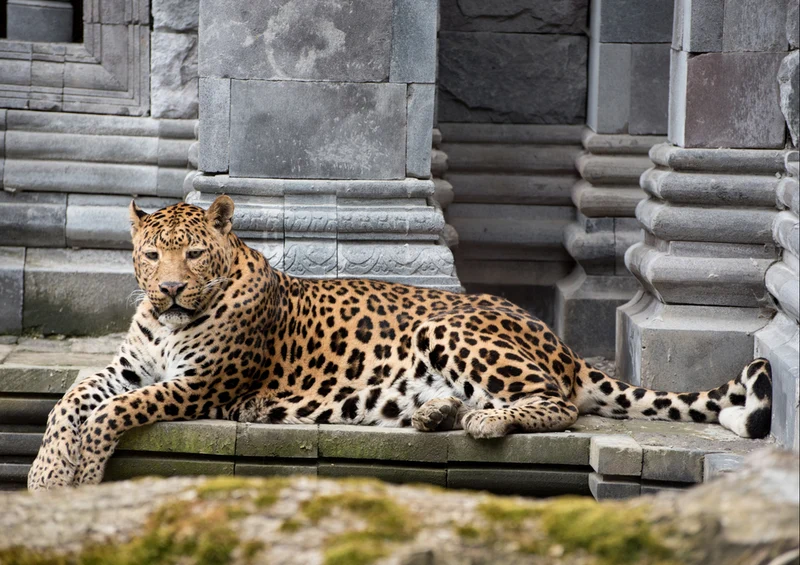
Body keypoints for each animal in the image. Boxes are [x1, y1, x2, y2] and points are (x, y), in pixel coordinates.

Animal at [27, 195, 773, 491]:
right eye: (151, 254)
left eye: (195, 253)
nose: (170, 290)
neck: (170, 326)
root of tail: (555, 338)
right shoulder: (130, 367)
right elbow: (71, 398)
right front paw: (43, 473)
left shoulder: (201, 382)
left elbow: (112, 413)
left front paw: (81, 474)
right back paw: (433, 413)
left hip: (449, 328)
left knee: (557, 400)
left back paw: (483, 420)